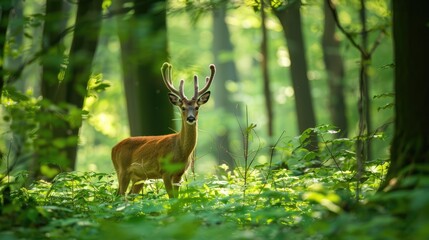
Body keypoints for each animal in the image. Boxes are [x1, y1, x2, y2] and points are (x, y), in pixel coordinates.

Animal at [110, 62, 214, 199]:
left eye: (197, 107)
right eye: (183, 107)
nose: (191, 118)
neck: (180, 151)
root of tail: (113, 149)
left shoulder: (179, 174)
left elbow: (177, 198)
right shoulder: (165, 171)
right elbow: (171, 198)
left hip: (138, 177)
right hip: (122, 170)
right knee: (120, 196)